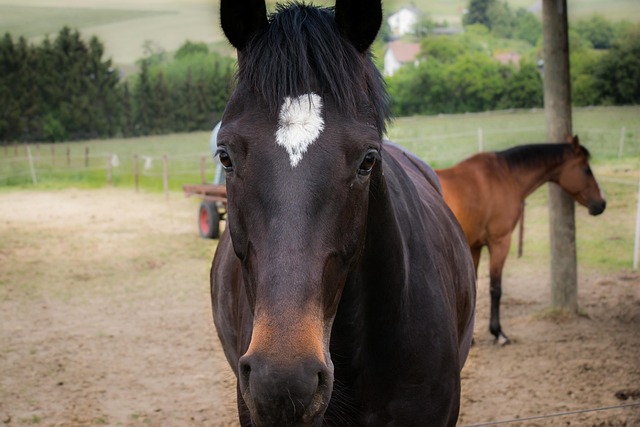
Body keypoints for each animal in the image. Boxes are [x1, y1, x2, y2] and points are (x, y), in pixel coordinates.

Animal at [436, 135, 604, 346]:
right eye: (586, 169)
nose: (601, 204)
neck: (504, 175)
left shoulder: (475, 246)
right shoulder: (500, 242)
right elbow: (495, 288)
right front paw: (498, 333)